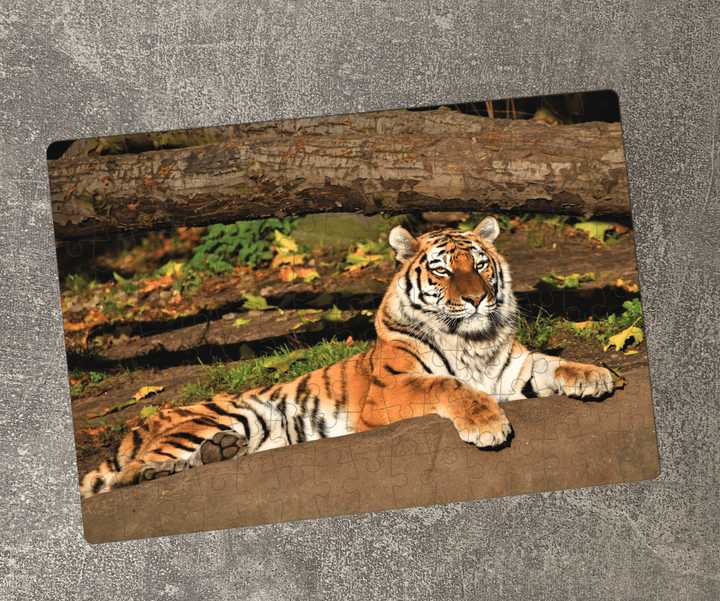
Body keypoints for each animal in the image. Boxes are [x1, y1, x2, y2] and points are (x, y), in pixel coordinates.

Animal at [80, 216, 614, 498]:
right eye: (443, 271)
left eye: (480, 265)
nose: (478, 298)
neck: (473, 339)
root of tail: (147, 419)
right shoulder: (391, 391)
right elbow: (449, 384)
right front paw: (487, 425)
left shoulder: (514, 370)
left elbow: (553, 362)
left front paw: (596, 376)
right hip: (228, 414)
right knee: (124, 475)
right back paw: (159, 471)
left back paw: (221, 453)